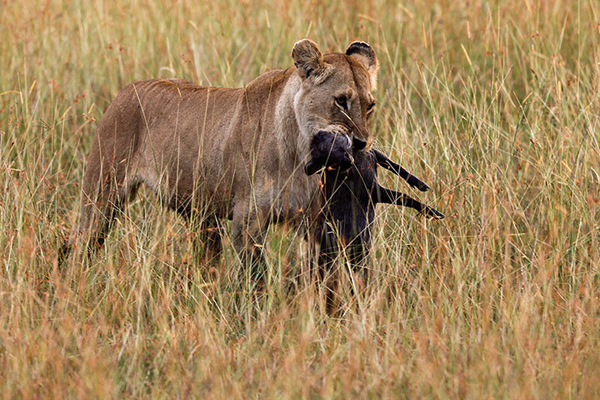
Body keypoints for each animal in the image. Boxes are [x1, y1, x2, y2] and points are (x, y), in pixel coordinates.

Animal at [308, 130, 442, 304]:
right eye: (326, 159)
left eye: (329, 140)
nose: (347, 159)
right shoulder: (373, 192)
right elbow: (403, 197)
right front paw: (433, 213)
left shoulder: (375, 155)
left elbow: (396, 166)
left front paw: (421, 185)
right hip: (348, 259)